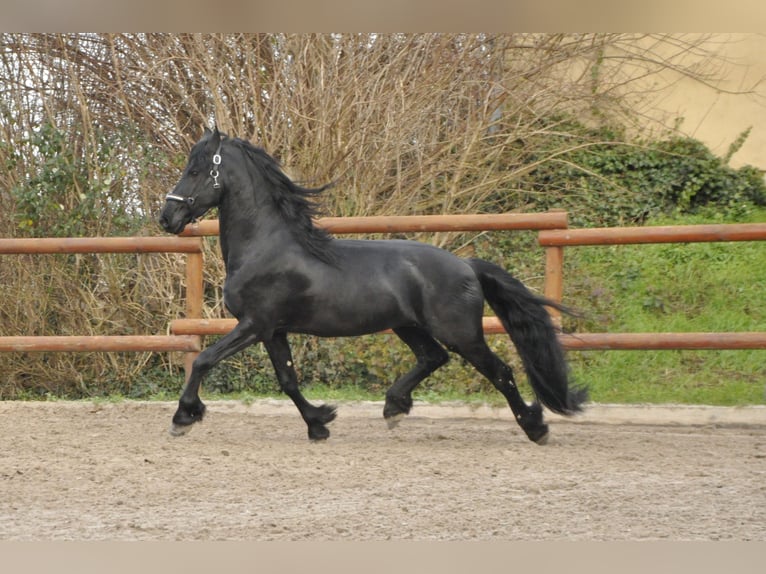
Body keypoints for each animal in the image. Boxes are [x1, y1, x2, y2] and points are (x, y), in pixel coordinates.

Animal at [158, 129, 588, 446]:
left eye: (196, 170)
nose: (167, 217)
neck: (266, 246)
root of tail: (466, 265)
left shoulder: (254, 324)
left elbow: (203, 359)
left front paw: (183, 417)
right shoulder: (274, 331)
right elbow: (288, 380)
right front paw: (320, 422)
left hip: (461, 333)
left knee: (499, 372)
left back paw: (536, 427)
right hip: (408, 326)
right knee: (433, 358)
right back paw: (394, 408)